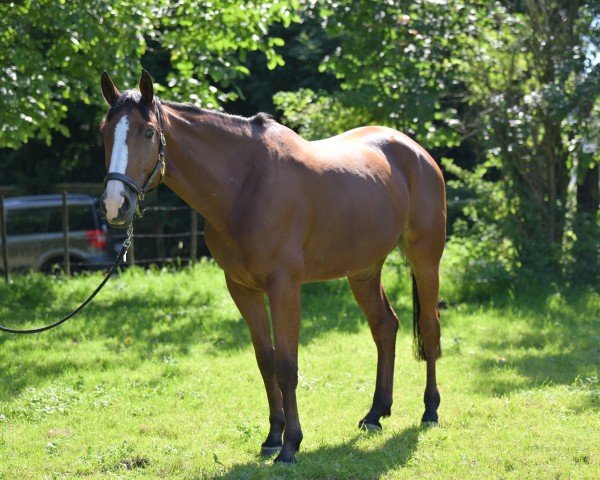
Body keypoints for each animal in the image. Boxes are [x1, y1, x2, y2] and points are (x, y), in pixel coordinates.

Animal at [98, 69, 446, 464]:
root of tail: (417, 152)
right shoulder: (242, 288)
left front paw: (291, 444)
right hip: (364, 271)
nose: (116, 205)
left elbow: (287, 365)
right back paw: (375, 414)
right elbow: (266, 361)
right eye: (104, 133)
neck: (247, 186)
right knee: (385, 327)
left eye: (148, 132)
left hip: (425, 259)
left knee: (430, 328)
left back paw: (430, 410)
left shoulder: (284, 287)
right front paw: (273, 437)